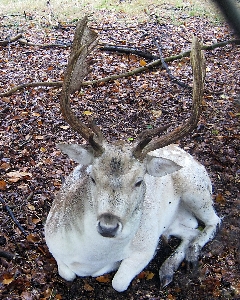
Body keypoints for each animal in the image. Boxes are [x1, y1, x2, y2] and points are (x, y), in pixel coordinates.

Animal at [44, 17, 220, 292]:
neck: (90, 258)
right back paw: (169, 265)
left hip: (197, 189)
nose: (108, 226)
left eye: (139, 181)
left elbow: (118, 282)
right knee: (191, 229)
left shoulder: (144, 247)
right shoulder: (51, 239)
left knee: (213, 222)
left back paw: (180, 261)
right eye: (92, 177)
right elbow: (67, 273)